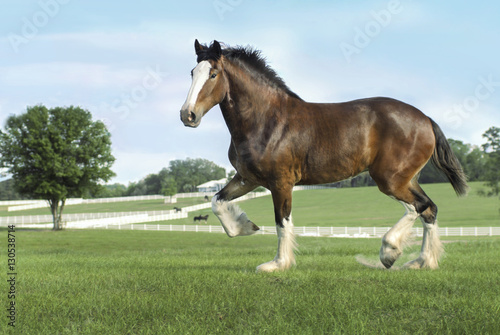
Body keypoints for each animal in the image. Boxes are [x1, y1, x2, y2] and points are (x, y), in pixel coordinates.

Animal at [180, 40, 468, 274]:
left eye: (213, 74)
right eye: (193, 73)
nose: (187, 115)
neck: (267, 120)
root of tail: (425, 119)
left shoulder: (281, 183)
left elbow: (282, 221)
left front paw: (277, 264)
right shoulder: (248, 178)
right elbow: (217, 202)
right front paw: (245, 226)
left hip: (390, 179)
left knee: (417, 207)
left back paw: (390, 252)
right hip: (407, 178)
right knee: (429, 209)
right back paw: (422, 262)